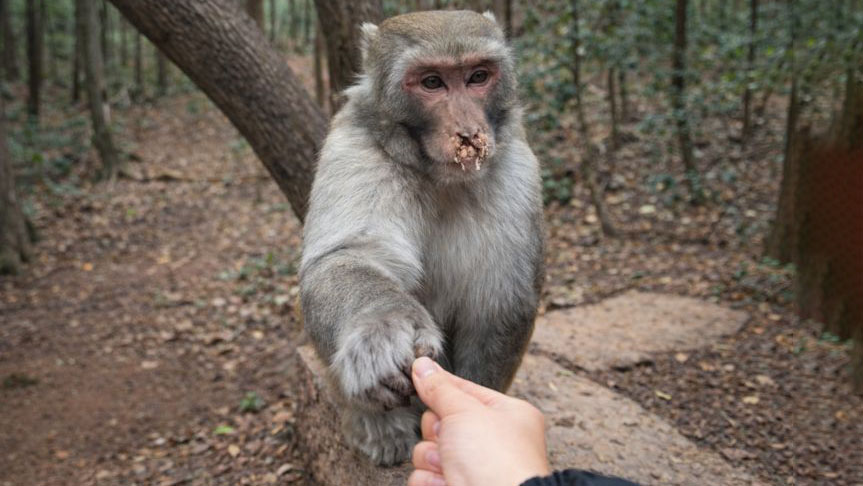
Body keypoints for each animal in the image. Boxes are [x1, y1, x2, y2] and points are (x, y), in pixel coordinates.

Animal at [299, 10, 544, 466]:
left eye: (478, 76)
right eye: (432, 82)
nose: (468, 132)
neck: (438, 177)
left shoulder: (517, 169)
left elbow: (502, 303)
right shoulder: (353, 148)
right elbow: (346, 256)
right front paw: (384, 325)